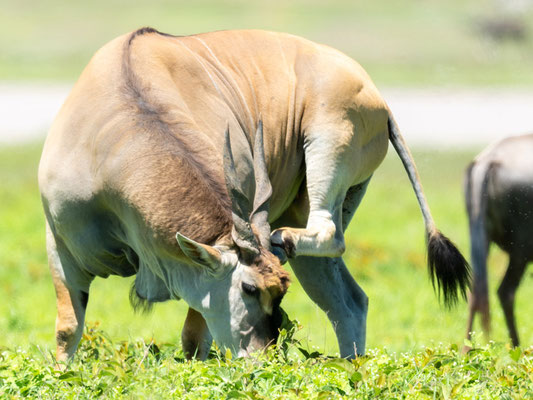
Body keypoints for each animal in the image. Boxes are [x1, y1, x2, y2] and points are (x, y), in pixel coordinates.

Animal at [38, 26, 470, 360]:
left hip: (326, 144)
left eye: (278, 293)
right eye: (249, 288)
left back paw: (285, 240)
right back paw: (353, 368)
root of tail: (379, 98)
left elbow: (194, 338)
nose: (264, 356)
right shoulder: (59, 243)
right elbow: (68, 328)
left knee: (329, 235)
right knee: (348, 301)